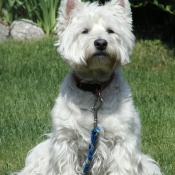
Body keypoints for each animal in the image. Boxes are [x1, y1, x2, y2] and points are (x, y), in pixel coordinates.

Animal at [13, 0, 163, 174]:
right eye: (84, 31)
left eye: (110, 31)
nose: (101, 43)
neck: (95, 88)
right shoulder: (66, 140)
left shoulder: (122, 140)